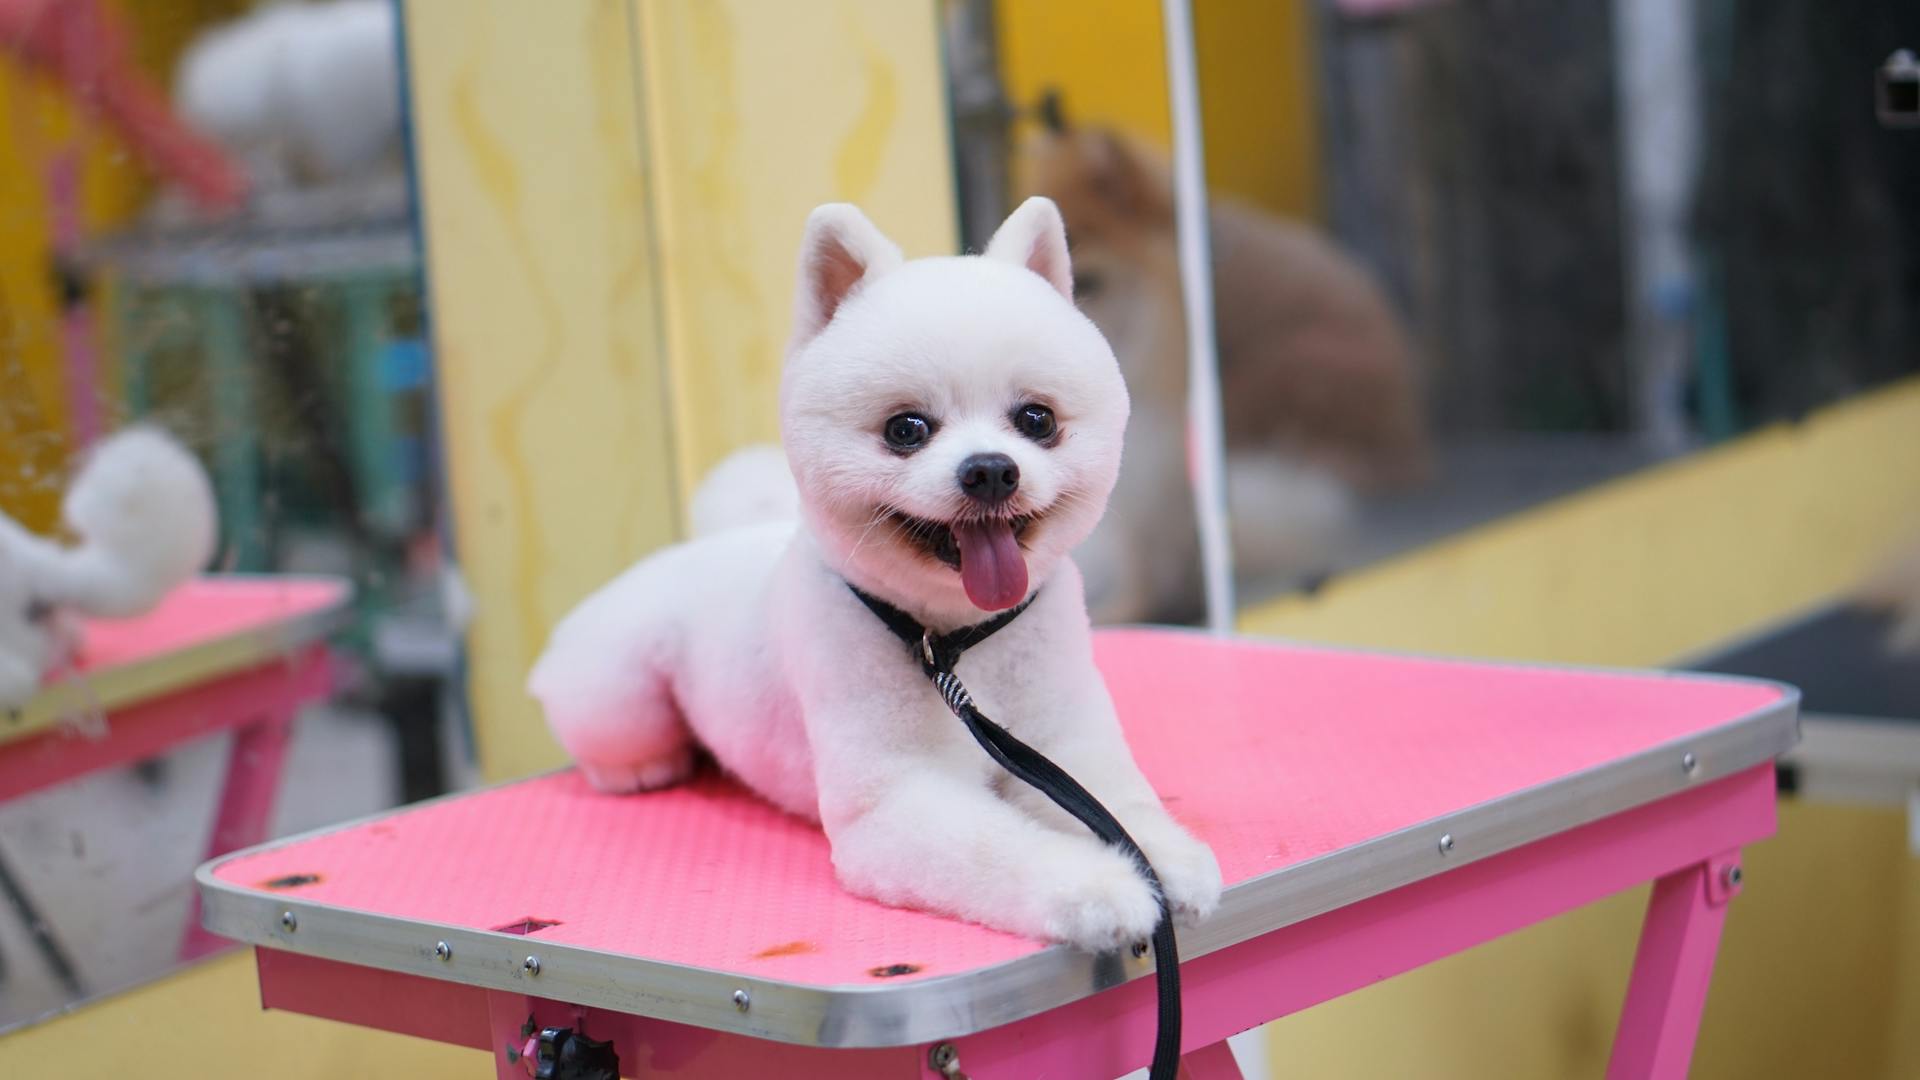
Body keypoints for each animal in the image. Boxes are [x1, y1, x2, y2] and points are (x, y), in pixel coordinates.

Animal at [529, 197, 1213, 945]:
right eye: (905, 429)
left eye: (1037, 419)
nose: (990, 469)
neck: (954, 643)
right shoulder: (895, 802)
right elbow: (995, 849)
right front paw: (1099, 889)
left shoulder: (1065, 742)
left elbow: (1123, 807)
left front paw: (1169, 862)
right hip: (618, 692)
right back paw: (643, 767)